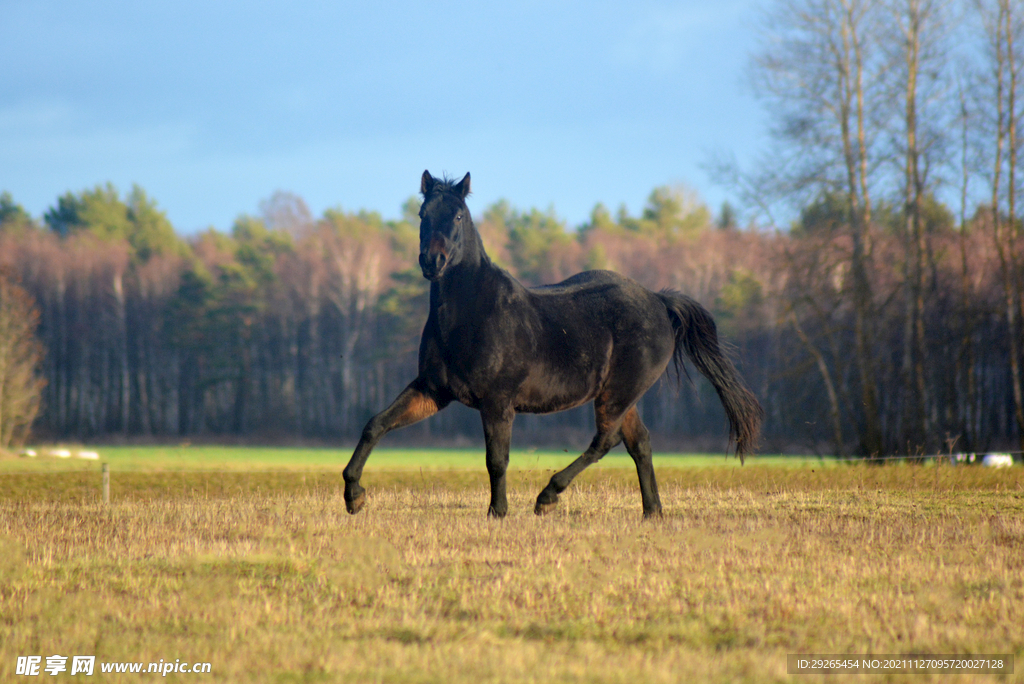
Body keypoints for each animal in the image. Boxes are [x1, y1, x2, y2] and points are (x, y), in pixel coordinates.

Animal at [344, 172, 761, 518]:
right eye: (422, 213)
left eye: (458, 216)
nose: (433, 261)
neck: (471, 313)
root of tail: (658, 301)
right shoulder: (433, 390)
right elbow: (376, 424)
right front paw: (353, 495)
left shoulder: (497, 402)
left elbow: (496, 459)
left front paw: (498, 512)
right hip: (622, 395)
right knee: (638, 443)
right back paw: (652, 512)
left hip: (617, 392)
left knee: (605, 441)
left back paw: (547, 497)